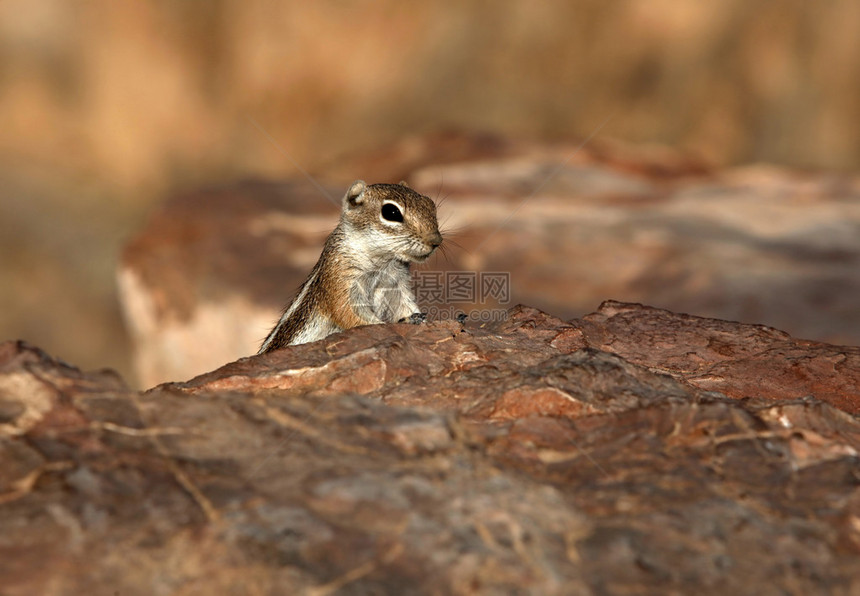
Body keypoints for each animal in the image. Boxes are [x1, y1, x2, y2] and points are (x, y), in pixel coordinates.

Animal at [255, 178, 444, 354]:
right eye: (391, 212)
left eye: (430, 203)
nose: (436, 241)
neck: (383, 264)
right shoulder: (341, 279)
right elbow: (351, 316)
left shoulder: (397, 287)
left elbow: (406, 306)